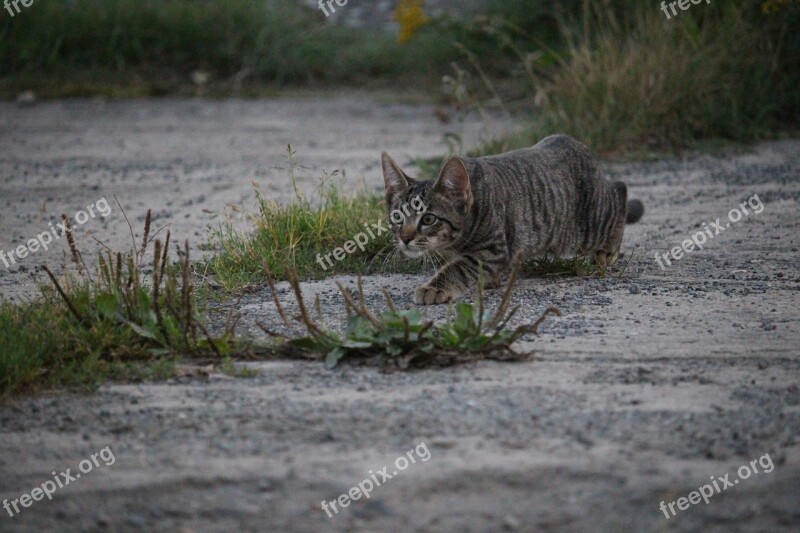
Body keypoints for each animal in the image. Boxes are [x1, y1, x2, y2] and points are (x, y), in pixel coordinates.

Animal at [382, 134, 644, 304]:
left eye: (428, 219)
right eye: (397, 217)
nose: (405, 238)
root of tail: (575, 143)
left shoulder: (495, 248)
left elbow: (459, 267)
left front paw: (434, 287)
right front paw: (490, 280)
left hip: (586, 227)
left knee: (619, 191)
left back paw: (607, 249)